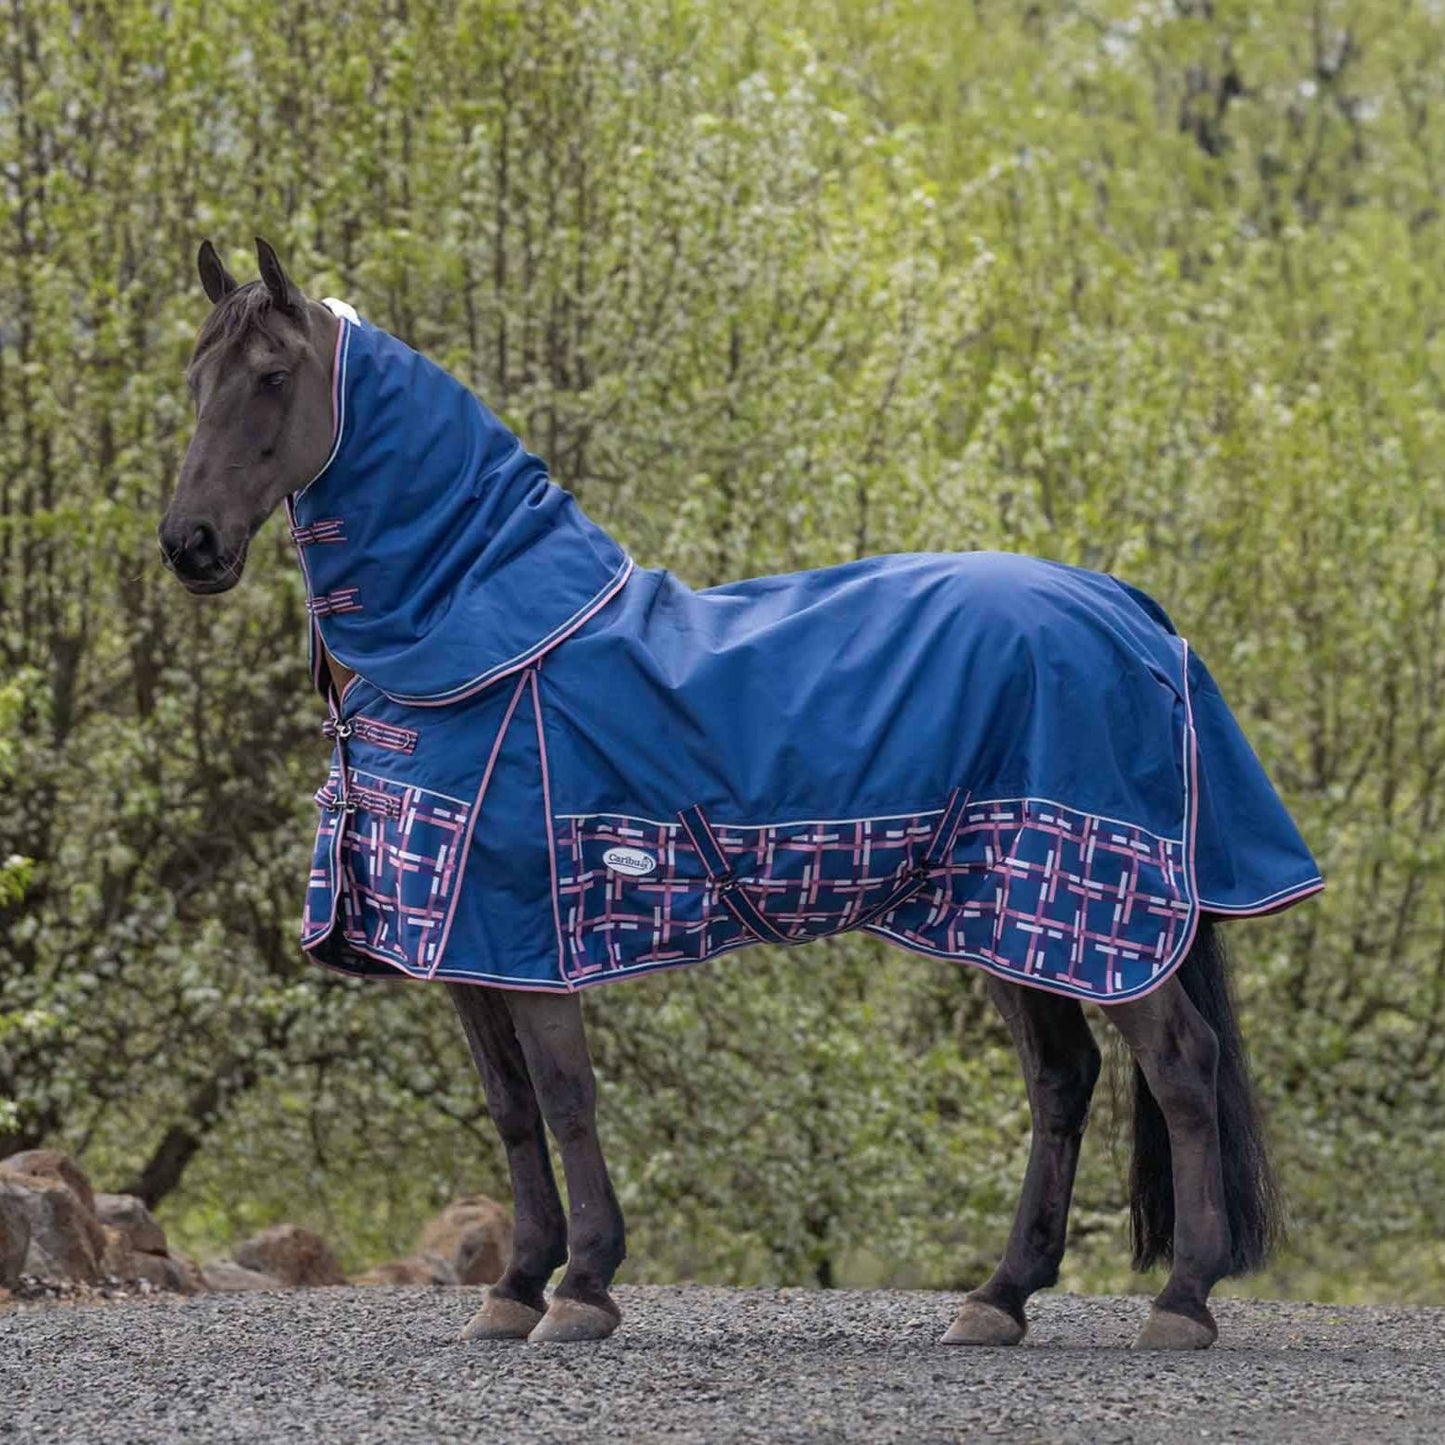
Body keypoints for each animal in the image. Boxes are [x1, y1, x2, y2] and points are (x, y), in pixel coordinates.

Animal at [159, 238, 1322, 1349]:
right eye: (195, 376)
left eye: (270, 375)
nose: (190, 544)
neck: (479, 641)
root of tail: (1131, 612)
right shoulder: (460, 945)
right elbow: (512, 1109)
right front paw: (516, 1284)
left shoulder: (528, 938)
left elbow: (567, 1098)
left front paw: (581, 1284)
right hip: (1009, 920)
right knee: (1063, 1078)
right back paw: (999, 1295)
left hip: (1098, 914)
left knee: (1179, 1065)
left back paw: (1181, 1297)